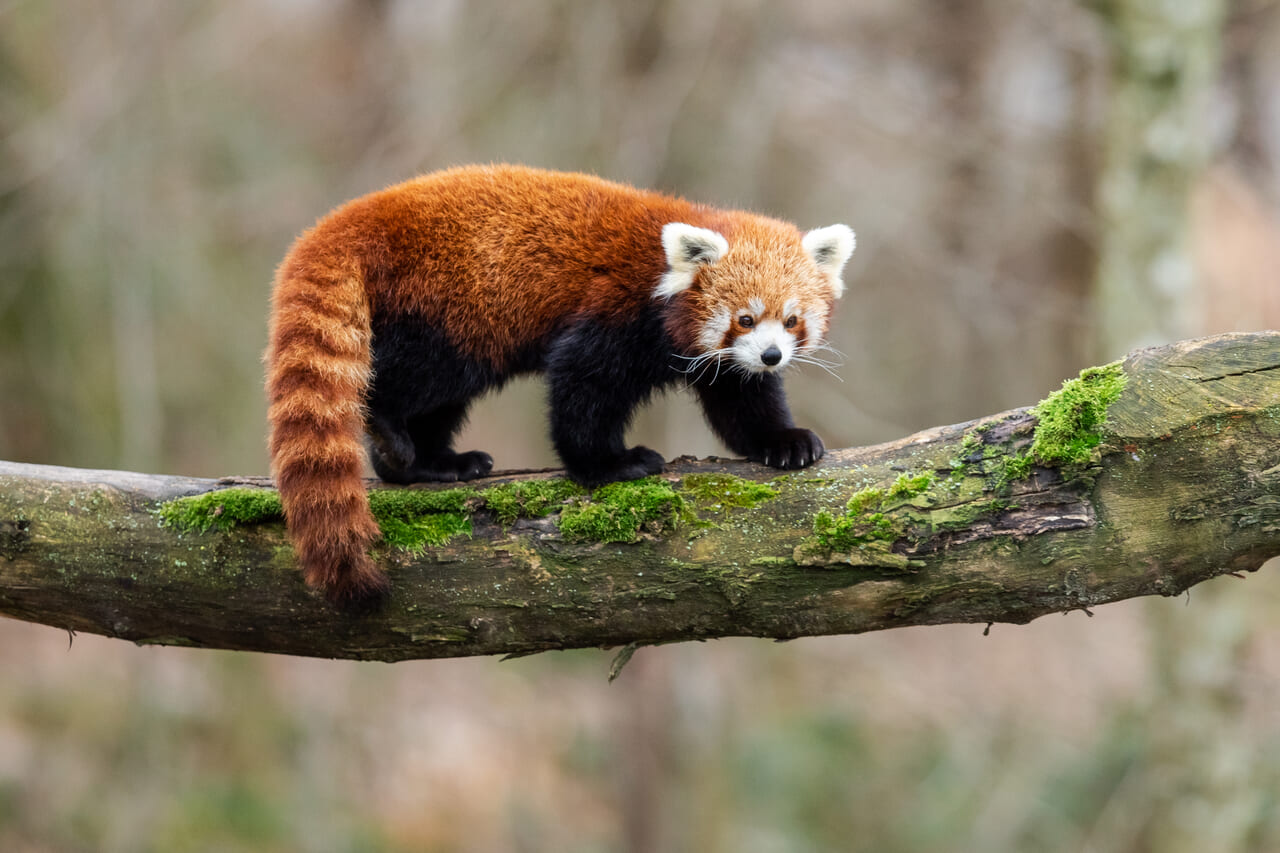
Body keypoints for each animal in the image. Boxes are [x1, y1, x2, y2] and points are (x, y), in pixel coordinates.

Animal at [264, 163, 855, 604]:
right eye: (745, 319)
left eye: (792, 320)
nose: (772, 356)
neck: (662, 277)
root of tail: (358, 216)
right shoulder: (614, 312)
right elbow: (581, 389)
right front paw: (610, 464)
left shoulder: (720, 363)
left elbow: (742, 400)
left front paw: (784, 442)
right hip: (447, 307)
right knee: (417, 376)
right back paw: (391, 433)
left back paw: (433, 464)